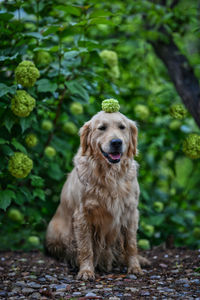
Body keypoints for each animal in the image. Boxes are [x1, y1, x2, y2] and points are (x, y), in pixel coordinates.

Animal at [45, 110, 148, 282]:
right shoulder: (82, 215)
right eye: (102, 128)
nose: (116, 142)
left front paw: (135, 267)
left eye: (122, 127)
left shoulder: (131, 211)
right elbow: (86, 247)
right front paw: (86, 271)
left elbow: (131, 245)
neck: (110, 174)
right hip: (55, 231)